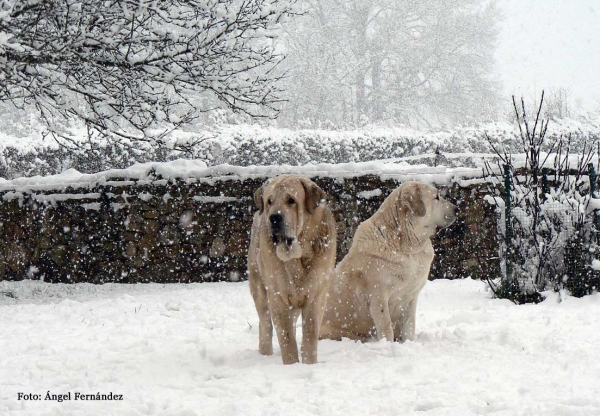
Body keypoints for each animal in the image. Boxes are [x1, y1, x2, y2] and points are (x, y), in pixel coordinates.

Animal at [246, 175, 336, 364]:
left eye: (291, 200)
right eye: (270, 201)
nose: (274, 218)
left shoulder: (316, 295)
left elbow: (310, 334)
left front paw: (308, 364)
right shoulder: (278, 296)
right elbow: (286, 336)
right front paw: (291, 364)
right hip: (259, 289)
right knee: (265, 324)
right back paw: (265, 354)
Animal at [322, 181, 458, 342]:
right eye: (436, 197)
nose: (457, 208)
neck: (407, 247)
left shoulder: (411, 296)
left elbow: (409, 325)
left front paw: (409, 343)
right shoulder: (378, 296)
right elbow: (386, 326)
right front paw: (388, 344)